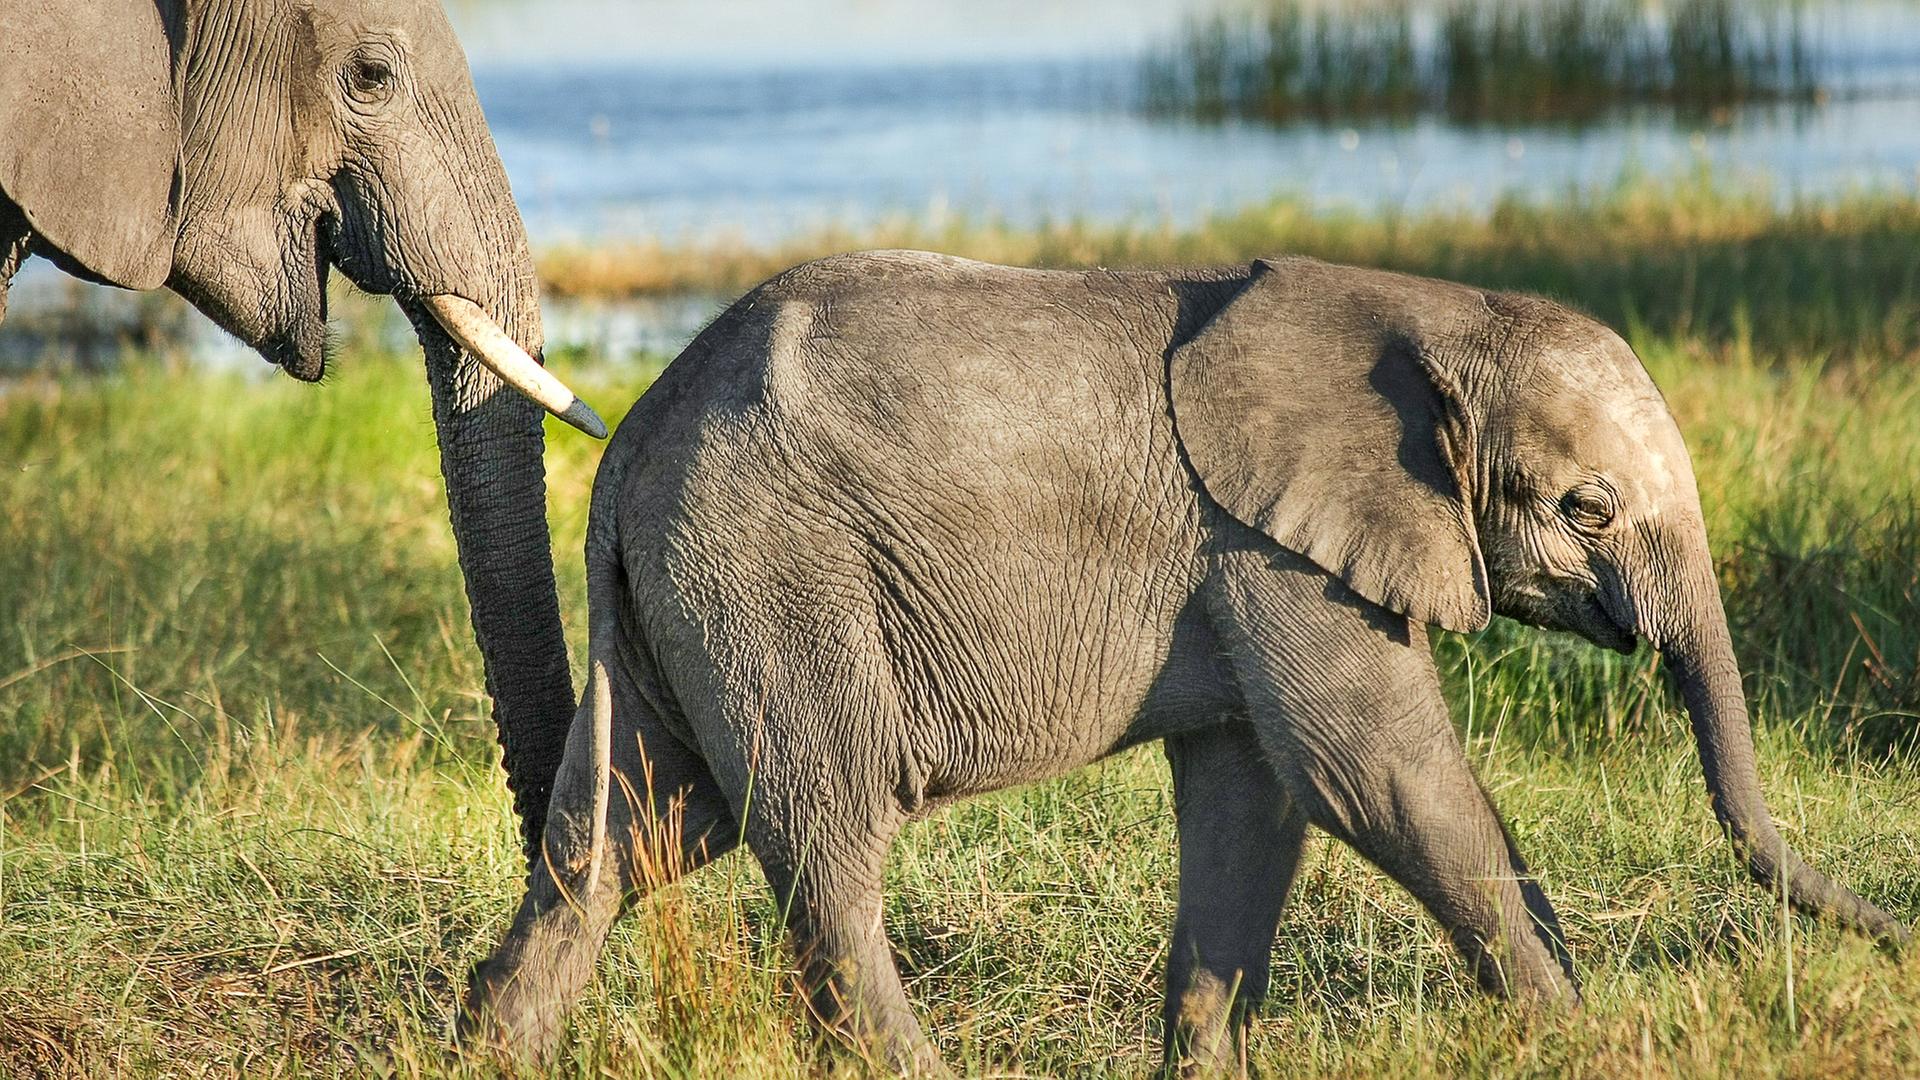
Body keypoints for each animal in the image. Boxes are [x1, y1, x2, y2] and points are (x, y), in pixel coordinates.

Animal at [460, 251, 1906, 1075]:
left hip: (692, 598)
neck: (1431, 308)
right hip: (775, 584)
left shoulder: (1251, 561)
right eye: (1588, 509)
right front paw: (1583, 1039)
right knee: (823, 842)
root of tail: (628, 446)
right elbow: (1374, 778)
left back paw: (489, 1049)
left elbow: (1252, 804)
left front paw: (1203, 1066)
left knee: (624, 838)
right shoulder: (1273, 545)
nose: (1895, 940)